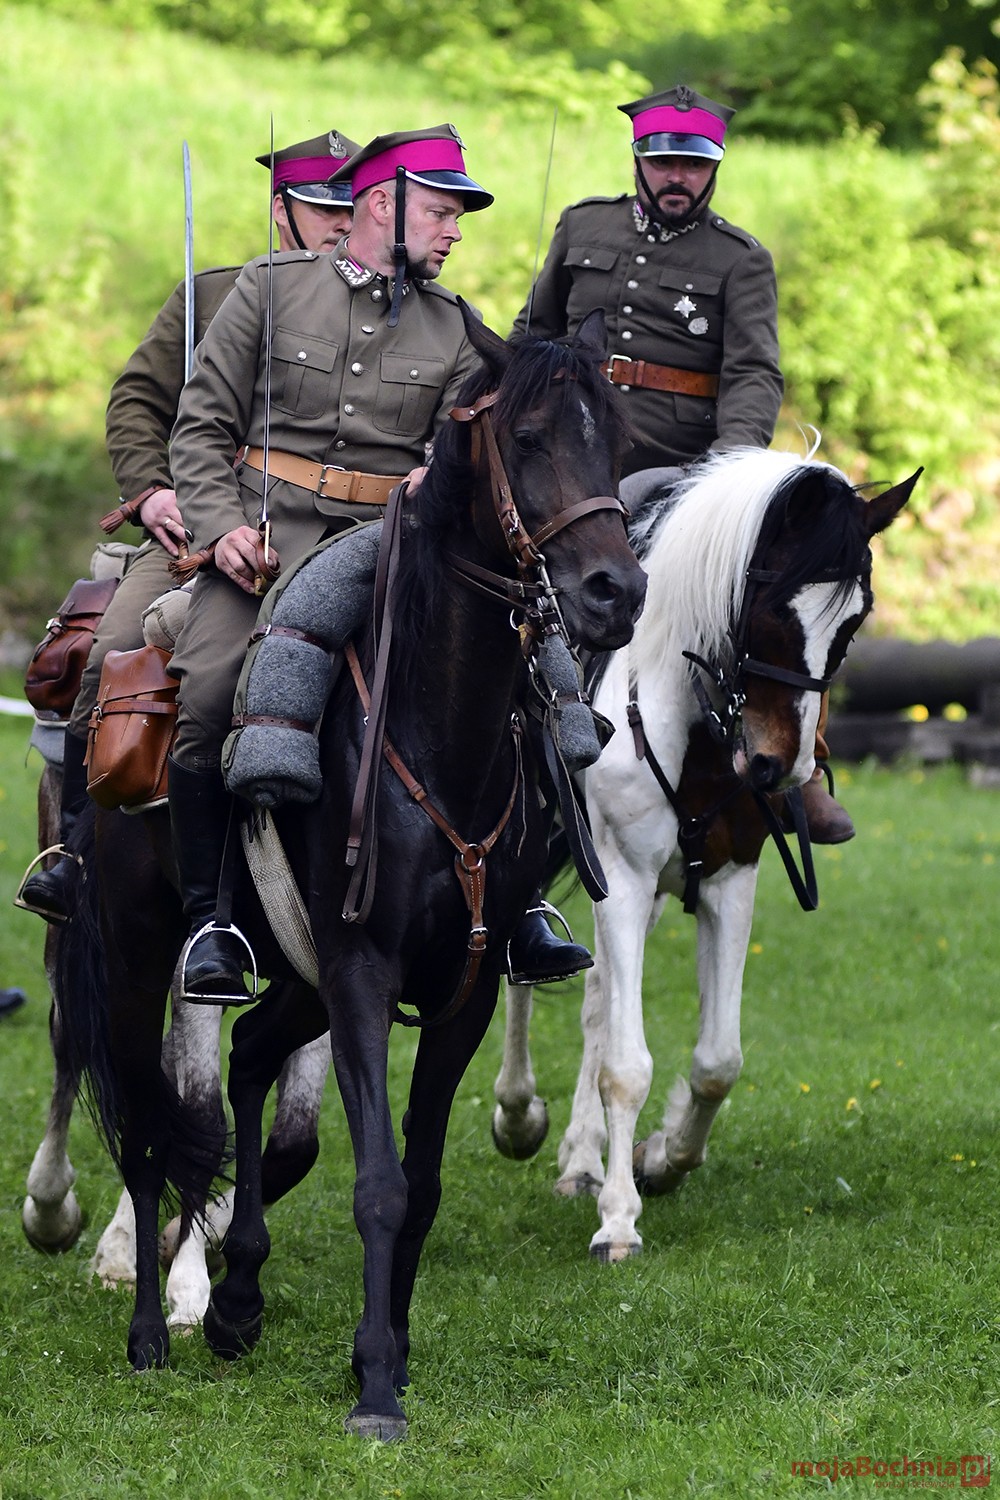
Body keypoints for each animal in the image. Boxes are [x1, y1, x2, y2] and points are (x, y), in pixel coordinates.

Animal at [59, 307, 647, 1440]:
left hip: (295, 978)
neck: (437, 729)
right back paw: (154, 1332)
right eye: (530, 437)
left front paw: (393, 1353)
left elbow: (419, 1181)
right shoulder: (364, 972)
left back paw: (238, 1300)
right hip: (146, 960)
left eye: (617, 443)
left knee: (248, 1058)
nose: (616, 589)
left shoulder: (459, 989)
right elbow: (377, 1181)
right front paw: (374, 1384)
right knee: (152, 1133)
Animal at [491, 445, 918, 1261]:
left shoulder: (728, 879)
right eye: (769, 606)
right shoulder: (621, 878)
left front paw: (660, 1158)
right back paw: (518, 1113)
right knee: (522, 970)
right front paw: (619, 1221)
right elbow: (627, 1064)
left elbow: (718, 1061)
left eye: (853, 621)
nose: (784, 768)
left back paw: (582, 1157)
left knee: (597, 1000)